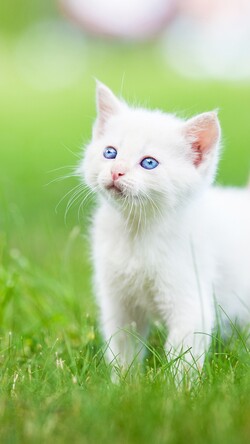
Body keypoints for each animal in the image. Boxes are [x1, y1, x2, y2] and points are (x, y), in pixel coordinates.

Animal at [80, 82, 250, 374]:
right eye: (110, 152)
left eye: (149, 163)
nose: (116, 171)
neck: (136, 234)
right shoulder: (118, 302)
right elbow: (123, 347)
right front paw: (124, 382)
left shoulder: (192, 305)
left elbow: (183, 358)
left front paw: (177, 385)